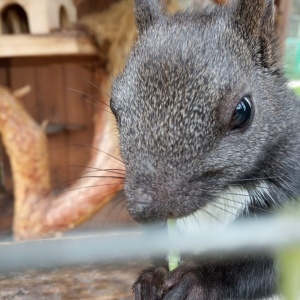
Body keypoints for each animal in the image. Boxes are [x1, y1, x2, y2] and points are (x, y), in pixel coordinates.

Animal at [110, 0, 300, 298]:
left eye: (242, 111)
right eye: (114, 107)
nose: (144, 209)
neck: (224, 195)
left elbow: (261, 263)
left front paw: (198, 280)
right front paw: (152, 278)